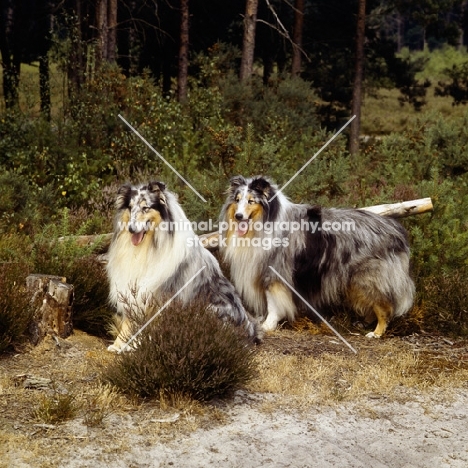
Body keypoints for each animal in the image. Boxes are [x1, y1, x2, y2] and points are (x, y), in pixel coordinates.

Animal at [106, 179, 260, 352]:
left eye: (146, 208)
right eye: (130, 207)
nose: (131, 229)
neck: (149, 245)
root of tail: (250, 328)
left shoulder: (163, 293)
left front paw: (143, 344)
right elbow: (129, 320)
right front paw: (119, 344)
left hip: (210, 309)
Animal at [218, 176, 414, 336]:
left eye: (251, 201)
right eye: (237, 200)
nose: (238, 216)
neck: (264, 222)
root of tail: (396, 230)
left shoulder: (274, 273)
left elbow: (273, 303)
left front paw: (268, 325)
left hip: (369, 277)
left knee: (384, 306)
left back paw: (376, 332)